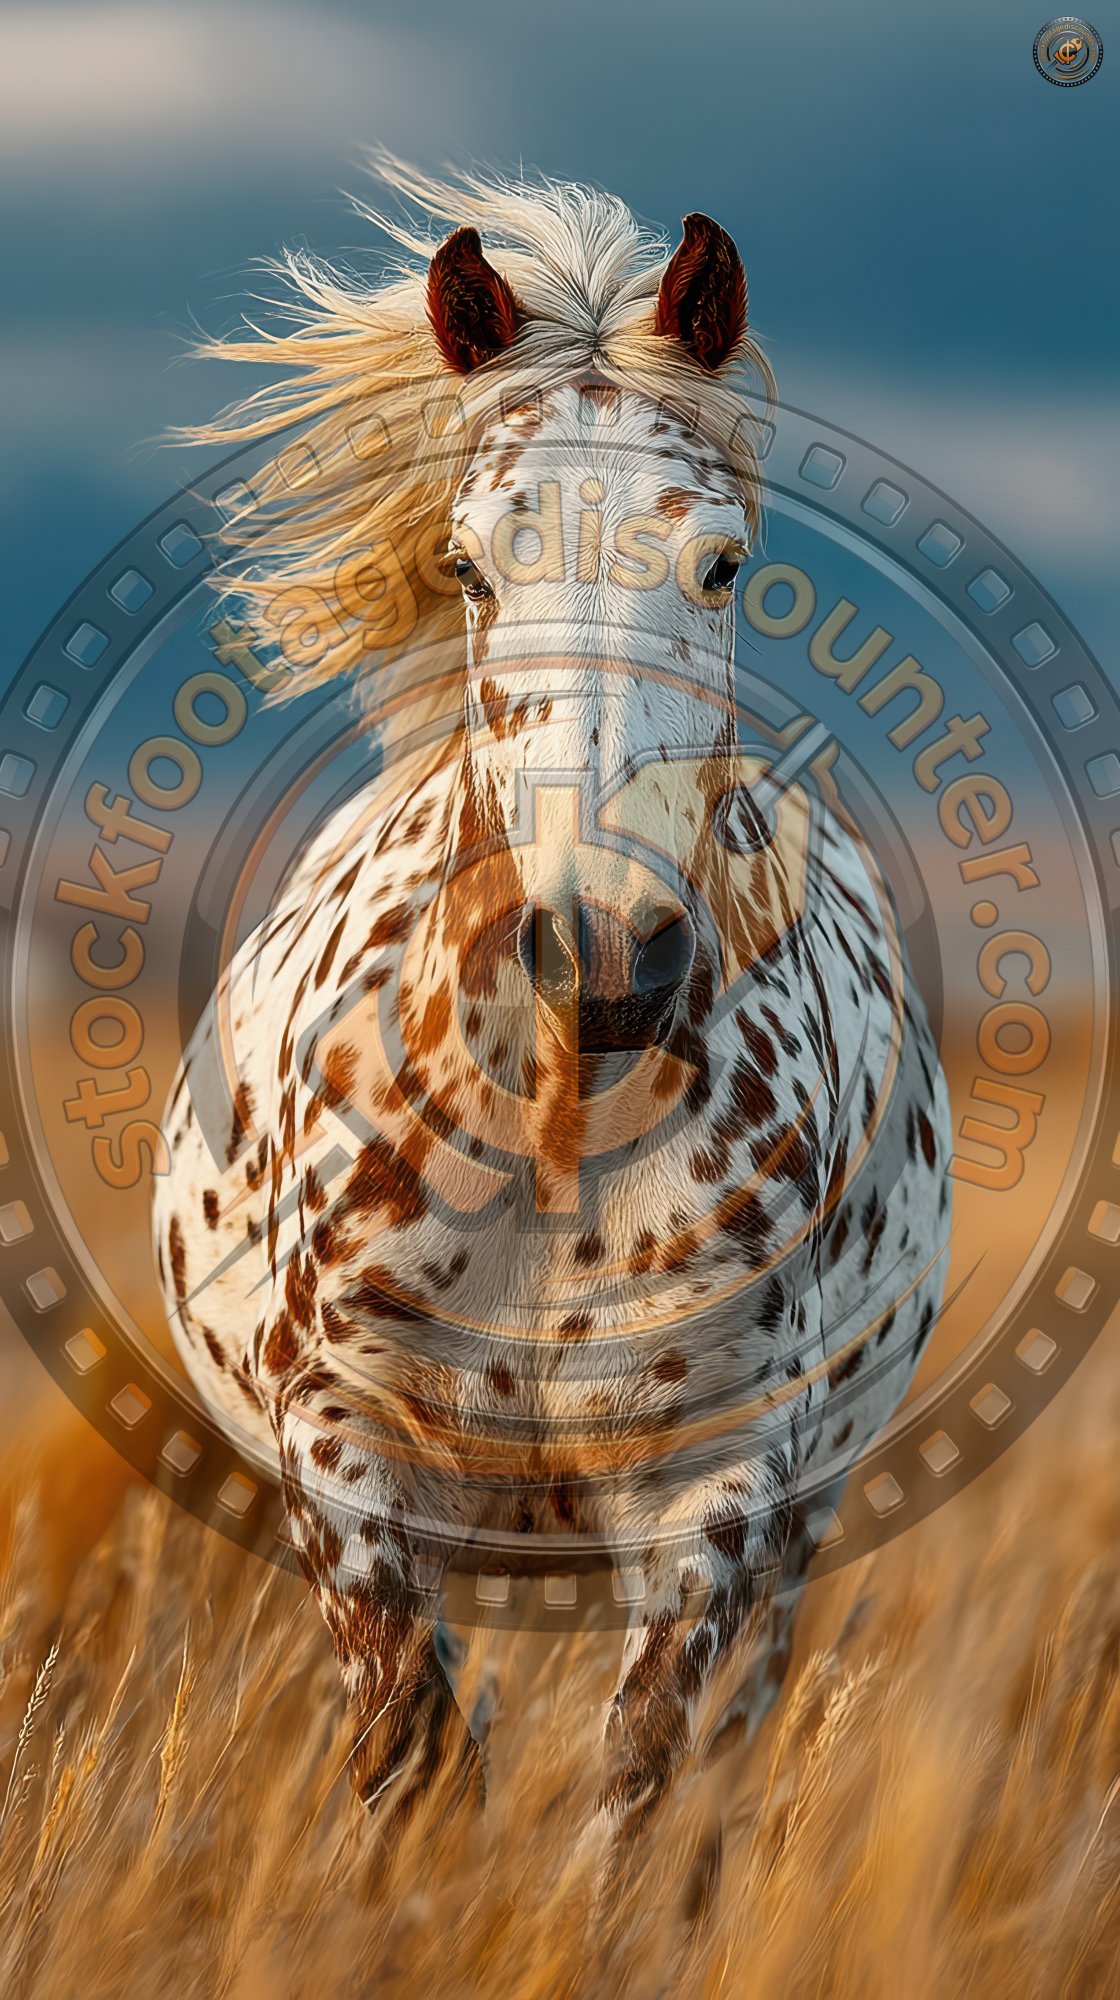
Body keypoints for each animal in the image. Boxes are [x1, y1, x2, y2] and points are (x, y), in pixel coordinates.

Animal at [154, 159, 951, 1863]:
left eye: (723, 562)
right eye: (470, 562)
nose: (604, 956)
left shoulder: (719, 1490)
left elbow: (637, 1790)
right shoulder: (351, 1448)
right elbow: (408, 1751)